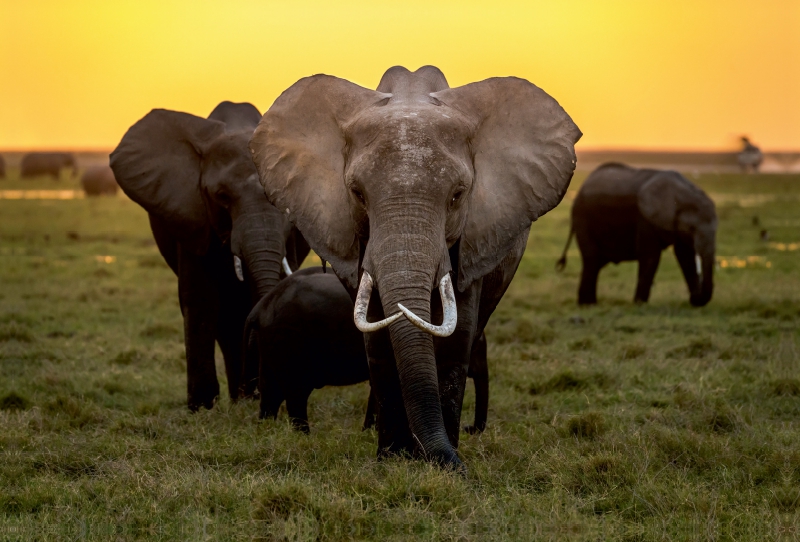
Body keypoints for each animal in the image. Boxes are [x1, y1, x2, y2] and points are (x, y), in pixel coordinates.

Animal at [244, 266, 488, 436]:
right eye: (475, 349)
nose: (468, 429)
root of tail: (259, 309)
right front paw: (371, 431)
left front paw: (368, 431)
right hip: (289, 339)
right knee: (296, 392)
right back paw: (304, 435)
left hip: (271, 341)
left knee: (271, 391)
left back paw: (268, 430)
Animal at [556, 162, 720, 308]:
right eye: (692, 228)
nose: (693, 299)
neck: (685, 192)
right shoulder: (644, 217)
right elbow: (651, 256)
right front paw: (639, 304)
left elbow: (685, 256)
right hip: (581, 218)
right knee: (592, 259)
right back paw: (588, 305)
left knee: (596, 263)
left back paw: (588, 304)